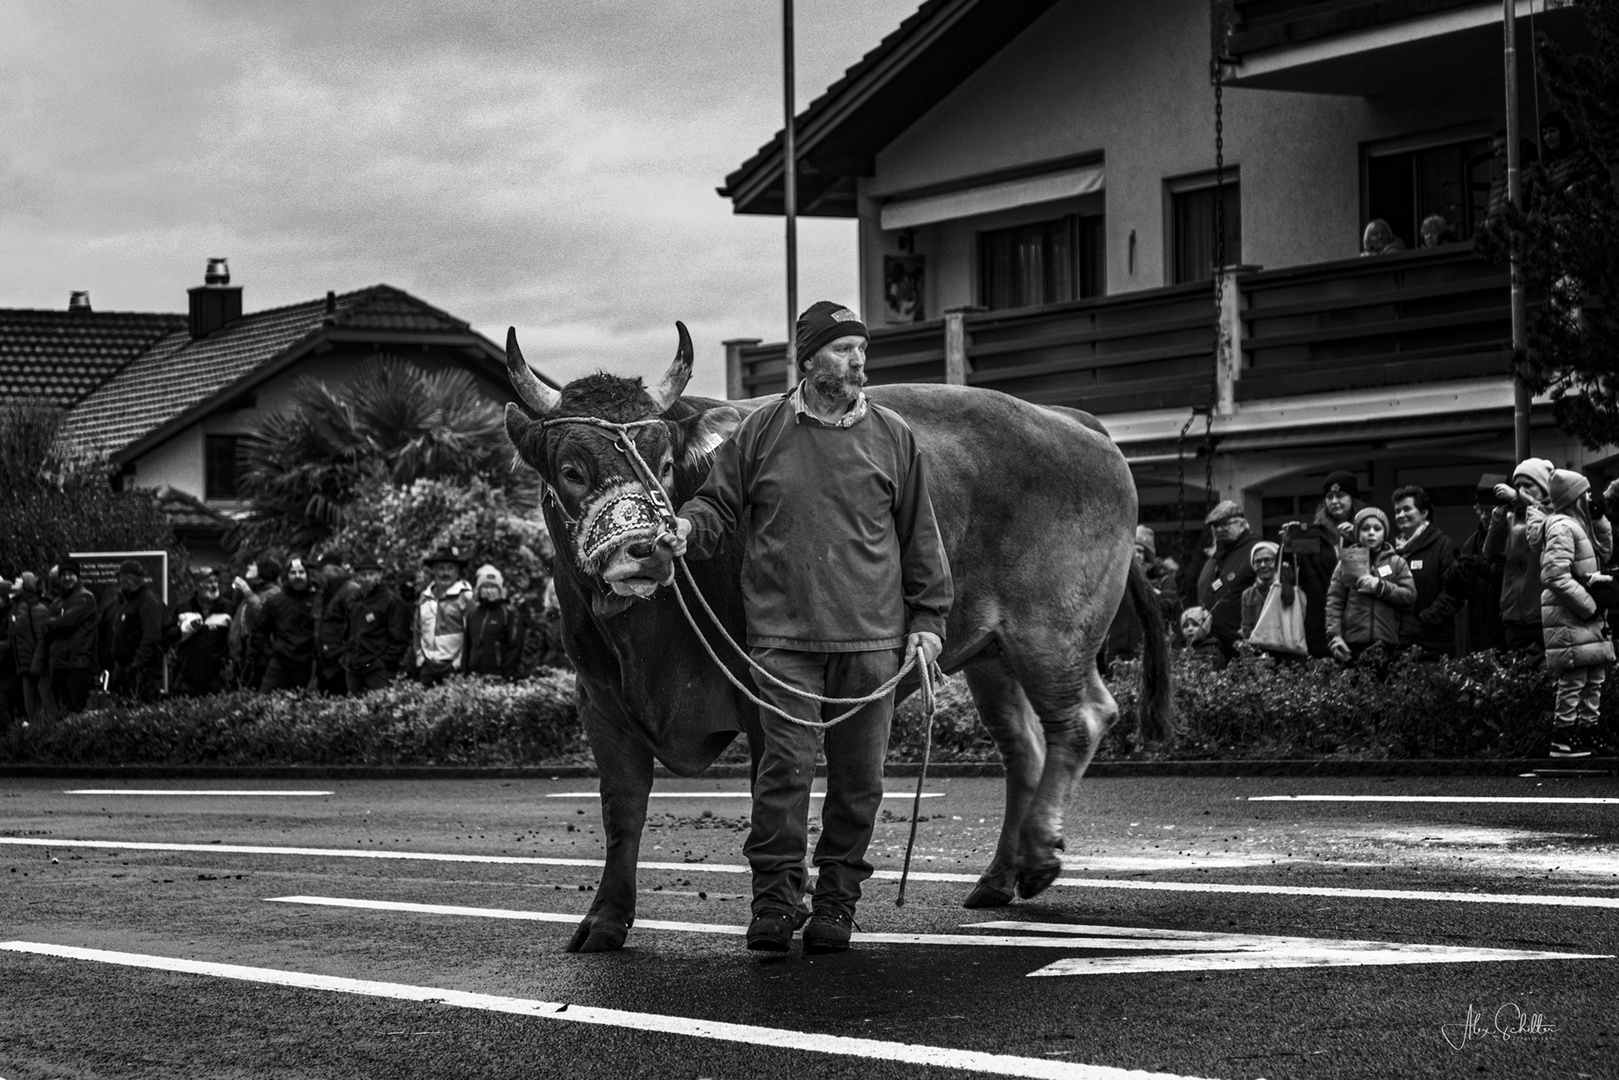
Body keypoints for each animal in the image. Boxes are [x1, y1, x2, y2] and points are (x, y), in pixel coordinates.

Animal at [498, 323, 1172, 952]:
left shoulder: (759, 691)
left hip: (1052, 634)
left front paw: (788, 908)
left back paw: (1035, 857)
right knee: (1024, 746)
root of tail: (1072, 420)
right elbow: (623, 809)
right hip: (991, 653)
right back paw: (998, 876)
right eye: (571, 470)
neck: (642, 639)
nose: (646, 549)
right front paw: (605, 920)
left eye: (663, 465)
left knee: (1080, 720)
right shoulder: (599, 700)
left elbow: (774, 788)